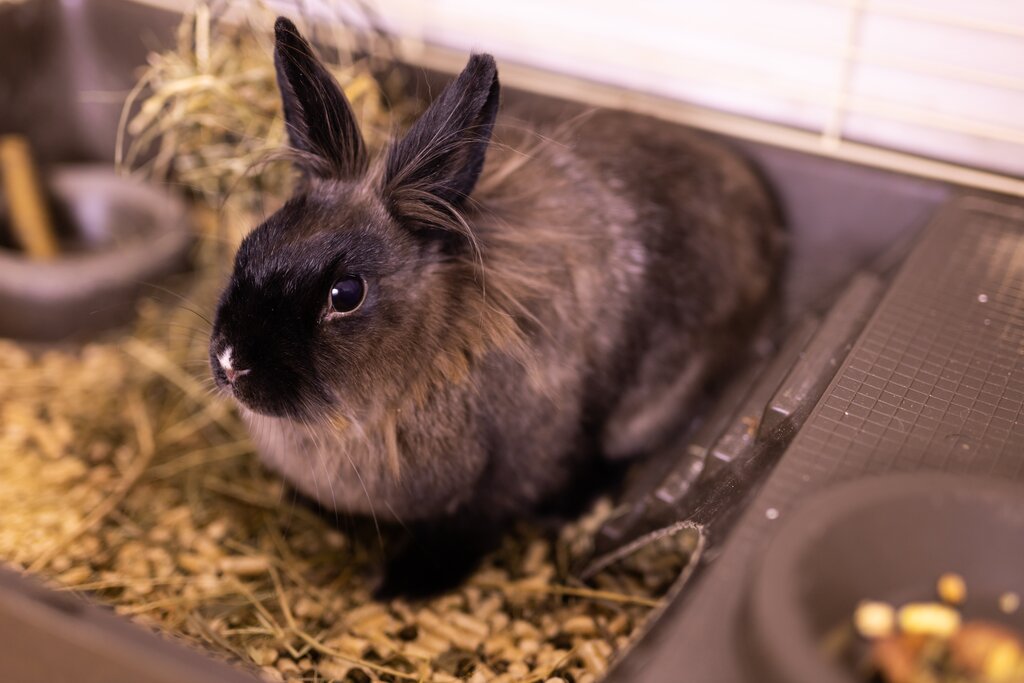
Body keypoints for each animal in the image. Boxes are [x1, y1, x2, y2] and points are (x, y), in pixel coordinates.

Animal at [209, 17, 786, 595]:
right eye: (252, 244)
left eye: (346, 294)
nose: (232, 361)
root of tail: (761, 208)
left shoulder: (506, 480)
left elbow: (466, 533)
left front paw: (399, 587)